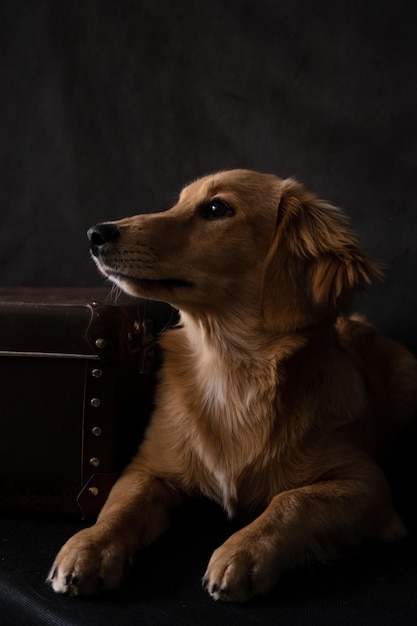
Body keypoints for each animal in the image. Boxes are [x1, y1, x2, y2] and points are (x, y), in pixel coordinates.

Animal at [47, 167, 416, 600]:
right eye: (177, 203)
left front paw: (244, 552)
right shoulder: (146, 468)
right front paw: (88, 546)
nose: (96, 234)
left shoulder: (367, 484)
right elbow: (119, 508)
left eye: (216, 208)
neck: (232, 369)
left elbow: (293, 500)